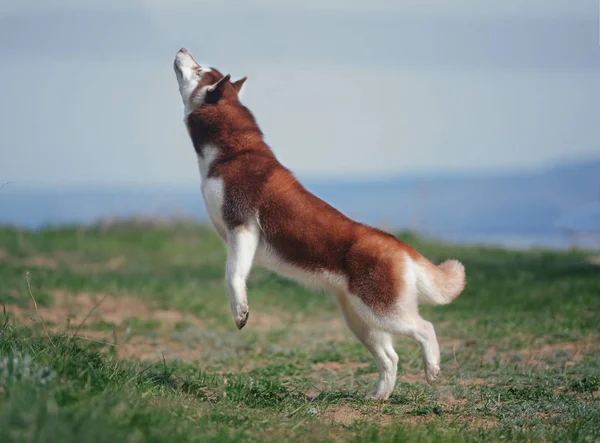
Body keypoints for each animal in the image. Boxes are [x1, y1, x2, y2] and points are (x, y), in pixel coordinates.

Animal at [171, 46, 466, 400]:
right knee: (390, 357)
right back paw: (377, 397)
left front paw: (240, 311)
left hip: (382, 311)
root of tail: (400, 246)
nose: (182, 49)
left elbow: (232, 276)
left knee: (425, 328)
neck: (230, 151)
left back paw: (432, 369)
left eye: (200, 70)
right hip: (361, 319)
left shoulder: (242, 226)